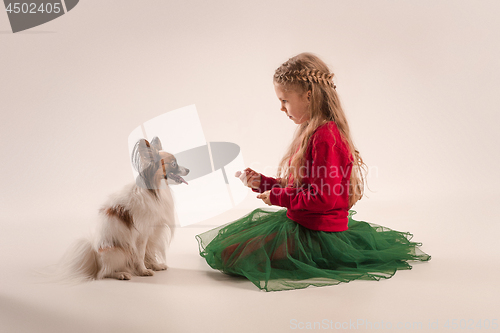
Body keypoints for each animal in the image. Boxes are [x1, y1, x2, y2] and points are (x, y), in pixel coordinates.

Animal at [57, 137, 189, 280]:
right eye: (174, 164)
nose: (188, 170)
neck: (156, 189)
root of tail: (95, 255)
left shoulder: (152, 234)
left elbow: (149, 253)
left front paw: (155, 265)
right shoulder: (142, 234)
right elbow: (141, 255)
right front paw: (143, 271)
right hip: (119, 252)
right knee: (103, 273)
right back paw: (121, 274)